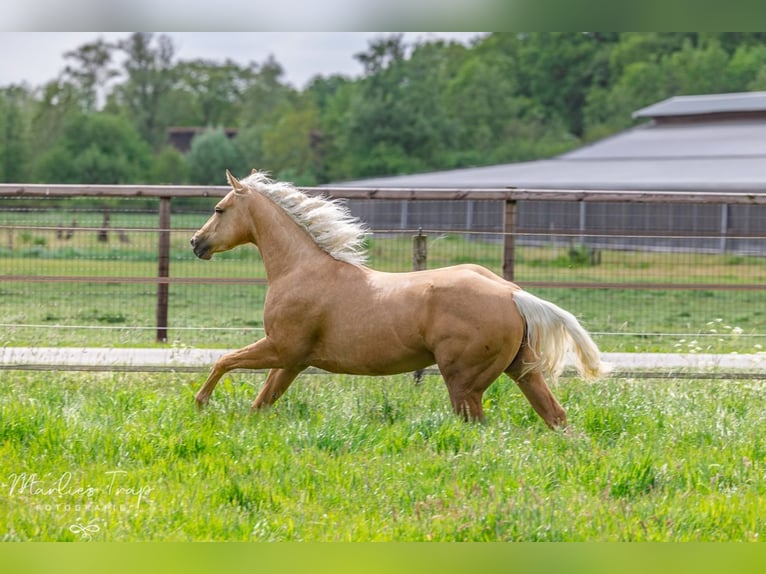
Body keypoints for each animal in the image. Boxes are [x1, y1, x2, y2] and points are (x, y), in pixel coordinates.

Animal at [194, 170, 612, 428]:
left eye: (219, 208)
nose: (196, 243)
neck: (301, 269)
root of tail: (513, 294)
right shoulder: (293, 361)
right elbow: (261, 403)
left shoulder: (281, 348)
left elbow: (224, 361)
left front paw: (200, 403)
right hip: (521, 369)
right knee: (556, 416)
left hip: (464, 383)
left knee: (478, 425)